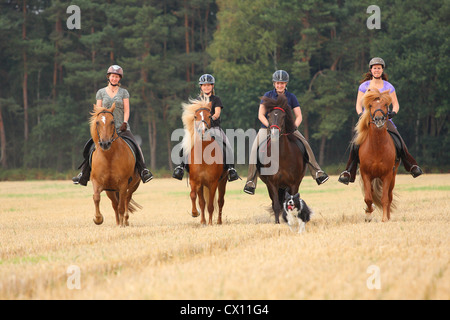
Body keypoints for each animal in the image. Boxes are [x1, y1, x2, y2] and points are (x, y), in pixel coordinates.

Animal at [180, 97, 227, 225]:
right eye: (195, 116)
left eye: (210, 116)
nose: (202, 130)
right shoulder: (195, 181)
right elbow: (195, 197)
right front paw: (196, 214)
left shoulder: (213, 183)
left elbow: (211, 205)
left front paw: (210, 223)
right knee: (203, 202)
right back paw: (203, 220)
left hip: (223, 181)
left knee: (220, 201)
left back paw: (219, 222)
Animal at [258, 95, 308, 224]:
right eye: (269, 116)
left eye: (283, 116)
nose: (274, 133)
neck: (281, 156)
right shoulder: (272, 183)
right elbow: (276, 205)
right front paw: (277, 222)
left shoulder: (294, 183)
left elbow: (293, 203)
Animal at [354, 89, 400, 221]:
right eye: (370, 105)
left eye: (385, 105)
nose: (379, 119)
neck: (377, 147)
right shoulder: (365, 174)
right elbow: (368, 198)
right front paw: (368, 213)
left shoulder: (387, 175)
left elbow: (384, 198)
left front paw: (384, 219)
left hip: (393, 176)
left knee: (389, 196)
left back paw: (388, 216)